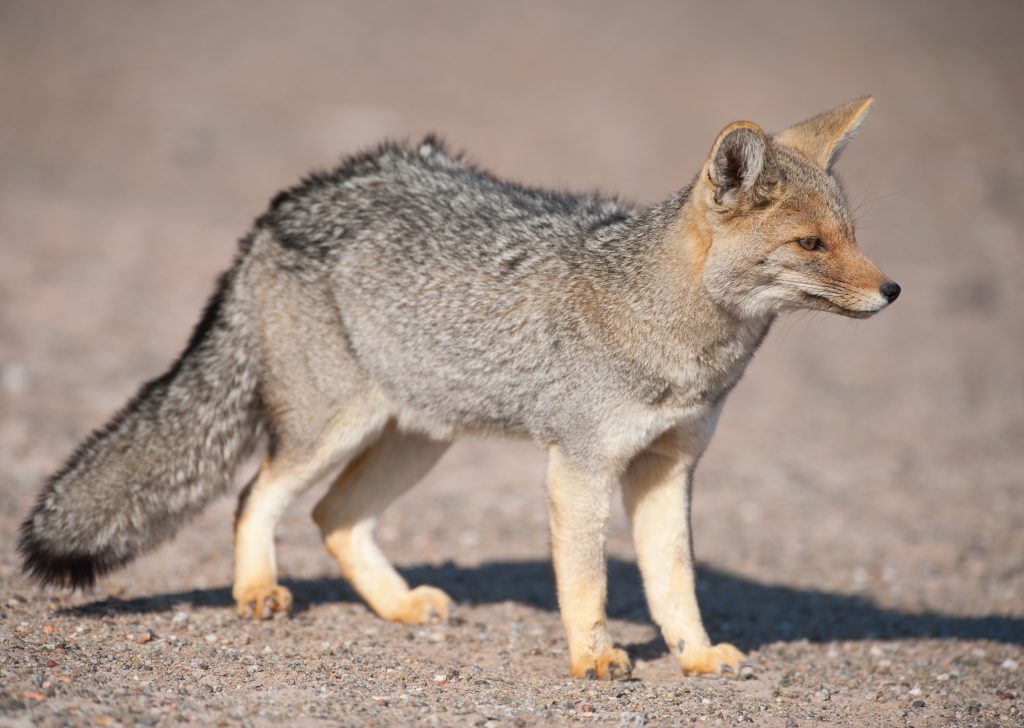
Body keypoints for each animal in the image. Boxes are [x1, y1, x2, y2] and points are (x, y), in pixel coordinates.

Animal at [18, 95, 897, 675]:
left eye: (853, 236)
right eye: (811, 244)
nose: (892, 291)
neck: (674, 331)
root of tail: (292, 199)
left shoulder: (669, 466)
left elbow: (673, 581)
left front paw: (696, 655)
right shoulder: (580, 466)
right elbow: (589, 579)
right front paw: (593, 657)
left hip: (418, 441)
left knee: (333, 518)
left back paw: (398, 605)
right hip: (331, 430)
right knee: (255, 495)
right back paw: (258, 588)